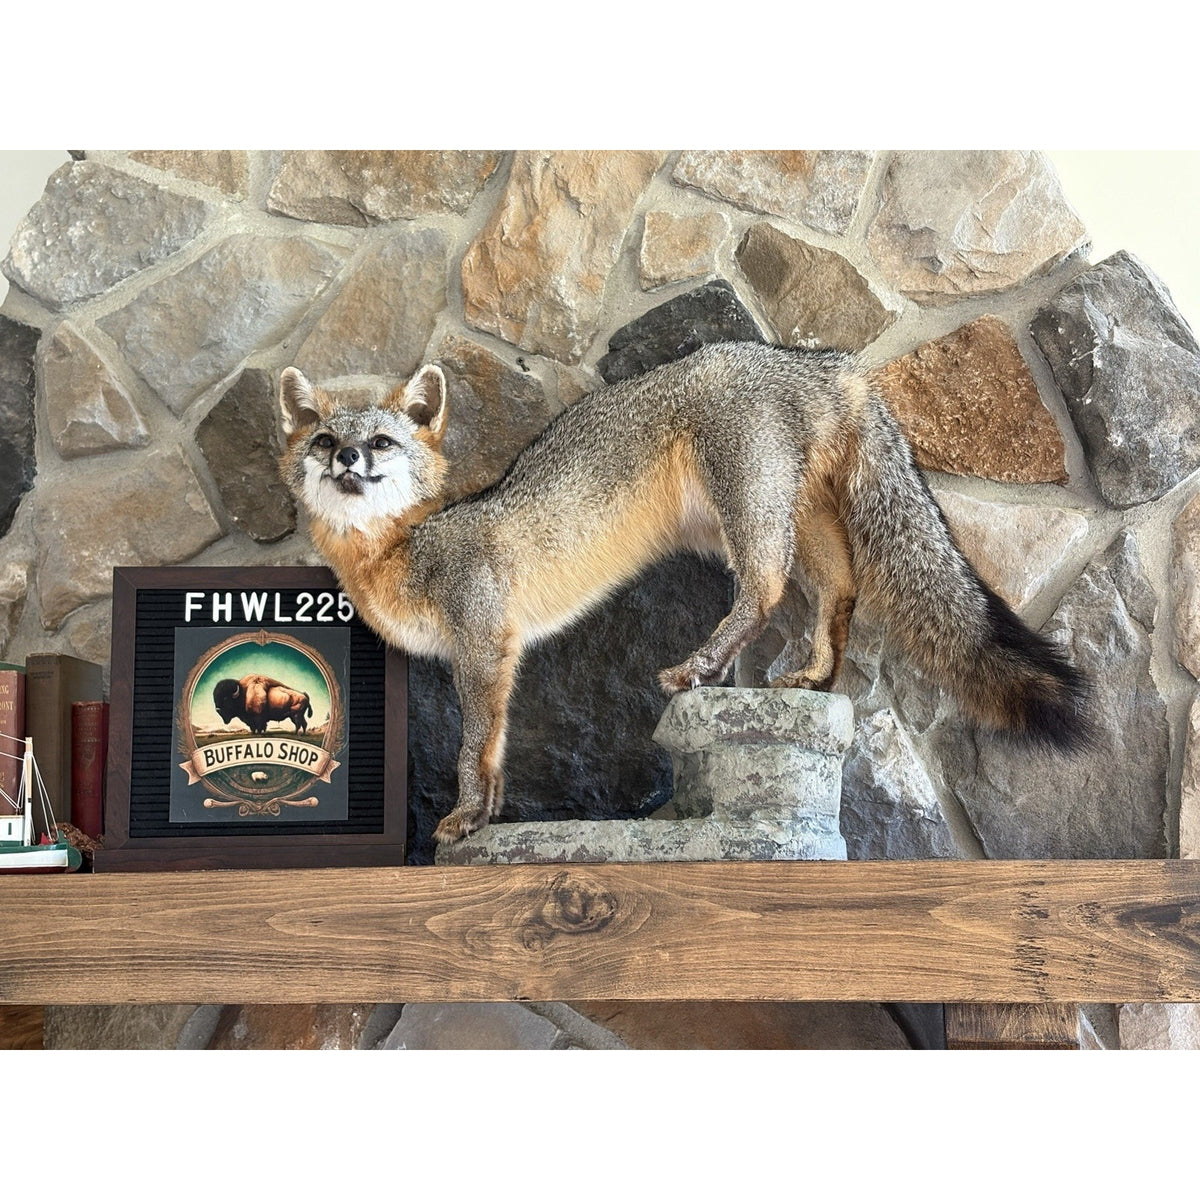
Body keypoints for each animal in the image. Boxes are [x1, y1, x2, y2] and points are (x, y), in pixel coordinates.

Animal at [277, 341, 1093, 844]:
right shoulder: (488, 656)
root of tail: (822, 360)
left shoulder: (482, 647)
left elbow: (473, 745)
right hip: (801, 519)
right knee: (841, 590)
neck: (404, 547)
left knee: (765, 587)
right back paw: (813, 675)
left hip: (747, 506)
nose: (345, 459)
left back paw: (701, 666)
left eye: (381, 443)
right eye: (322, 441)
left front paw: (467, 818)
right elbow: (496, 746)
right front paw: (494, 813)